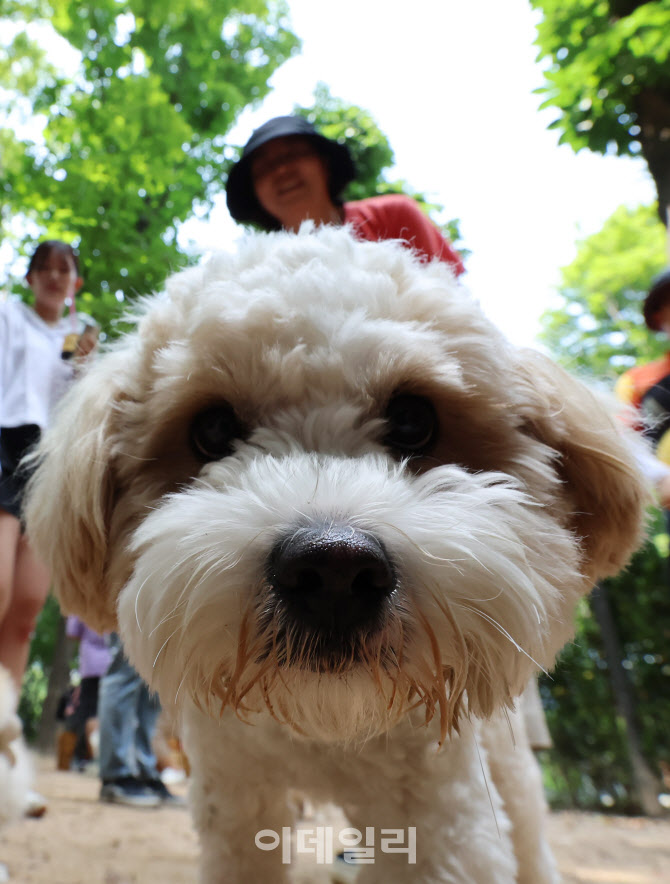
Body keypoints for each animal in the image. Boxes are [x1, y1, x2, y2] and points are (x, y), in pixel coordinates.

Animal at [27, 230, 652, 884]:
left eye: (414, 419)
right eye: (212, 428)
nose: (333, 569)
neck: (326, 732)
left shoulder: (440, 814)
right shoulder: (235, 798)